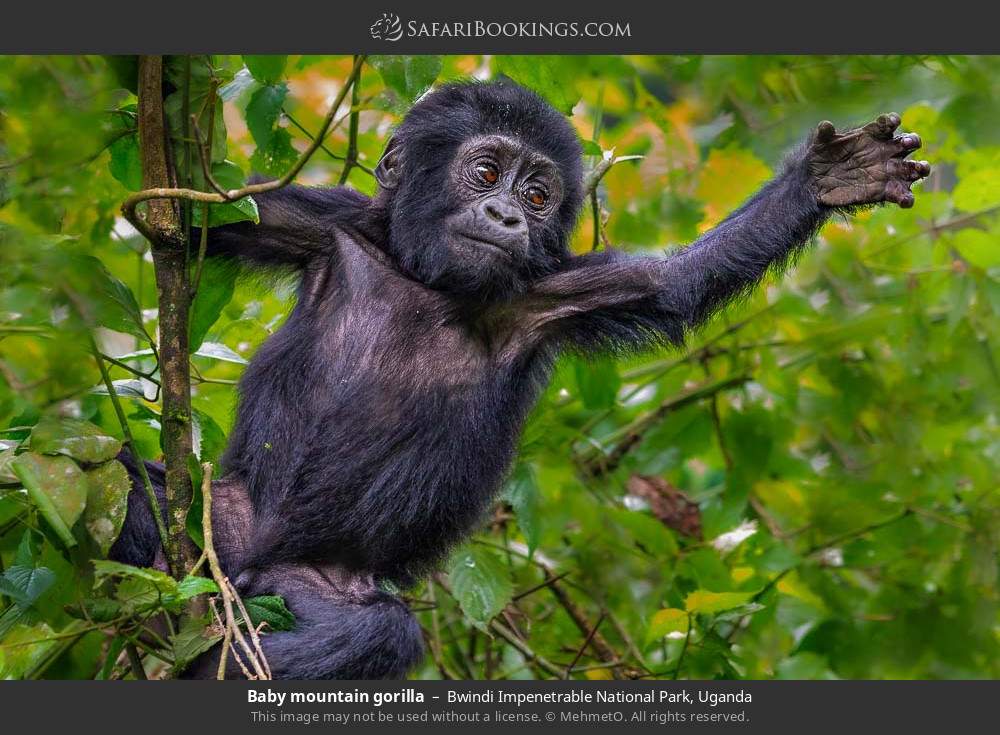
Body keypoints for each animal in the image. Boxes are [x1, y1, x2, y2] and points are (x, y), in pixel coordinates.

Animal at [109, 79, 928, 680]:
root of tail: (249, 565)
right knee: (127, 483)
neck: (429, 281)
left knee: (378, 631)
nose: (505, 212)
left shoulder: (553, 292)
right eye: (485, 171)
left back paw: (219, 657)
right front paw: (164, 95)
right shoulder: (318, 221)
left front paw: (830, 178)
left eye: (537, 195)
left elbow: (672, 284)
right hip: (219, 520)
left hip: (307, 584)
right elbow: (189, 218)